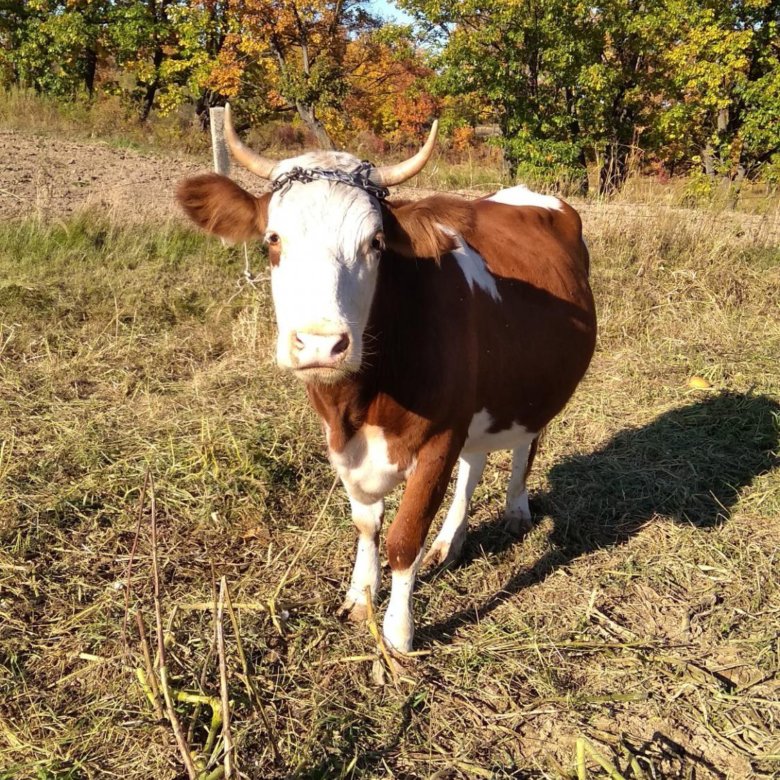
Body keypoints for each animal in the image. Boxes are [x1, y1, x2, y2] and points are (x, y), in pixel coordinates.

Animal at [177, 103, 596, 652]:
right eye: (273, 239)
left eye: (375, 243)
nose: (321, 344)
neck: (360, 401)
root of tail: (528, 194)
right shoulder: (341, 439)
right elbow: (365, 523)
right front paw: (360, 596)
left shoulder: (440, 437)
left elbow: (404, 538)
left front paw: (398, 635)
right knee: (475, 462)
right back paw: (451, 542)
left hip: (535, 387)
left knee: (526, 442)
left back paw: (515, 509)